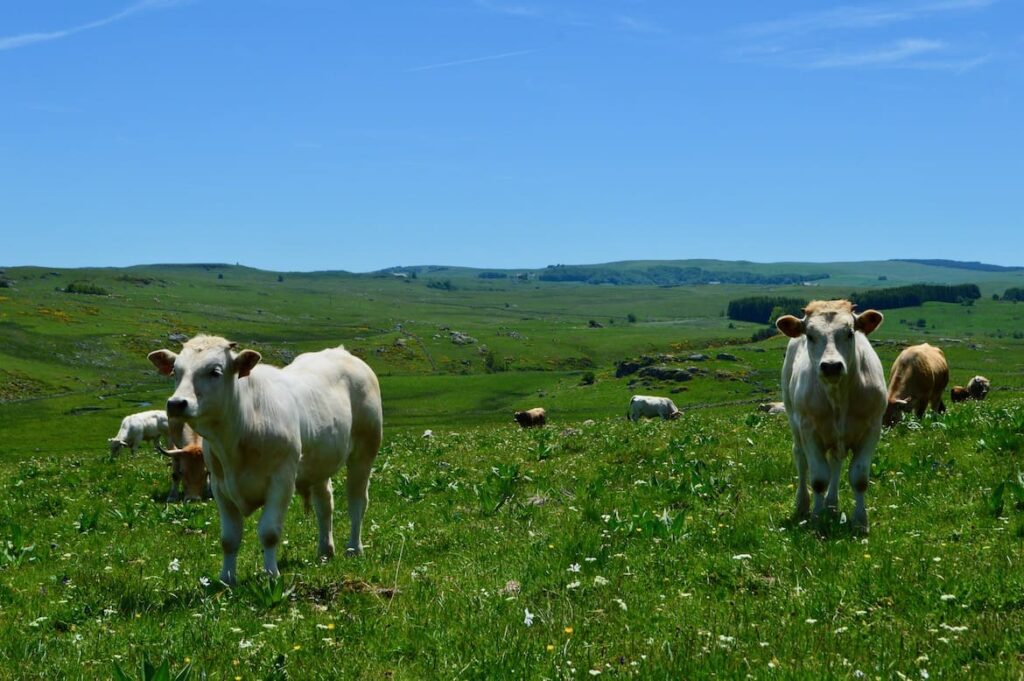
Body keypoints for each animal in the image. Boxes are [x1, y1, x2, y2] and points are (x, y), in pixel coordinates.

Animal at [146, 333, 382, 585]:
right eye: (175, 371)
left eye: (215, 371)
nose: (176, 403)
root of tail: (342, 352)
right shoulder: (220, 487)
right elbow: (229, 538)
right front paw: (226, 578)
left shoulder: (282, 481)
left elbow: (269, 533)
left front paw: (271, 575)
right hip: (320, 461)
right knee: (325, 505)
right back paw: (325, 552)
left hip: (364, 451)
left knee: (357, 502)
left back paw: (354, 548)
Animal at [774, 301, 888, 532]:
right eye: (810, 335)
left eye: (850, 333)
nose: (831, 366)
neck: (838, 397)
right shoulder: (809, 430)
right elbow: (818, 478)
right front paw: (817, 518)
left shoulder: (873, 428)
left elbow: (859, 478)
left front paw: (860, 521)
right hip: (793, 417)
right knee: (801, 459)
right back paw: (803, 505)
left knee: (835, 462)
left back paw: (832, 505)